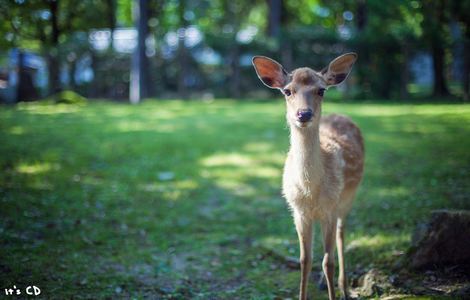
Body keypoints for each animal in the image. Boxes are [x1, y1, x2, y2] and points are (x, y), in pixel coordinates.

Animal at [252, 52, 366, 298]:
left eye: (321, 90)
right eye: (287, 91)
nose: (303, 114)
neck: (310, 191)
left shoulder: (330, 208)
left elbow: (328, 262)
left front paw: (335, 292)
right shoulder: (298, 211)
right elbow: (305, 260)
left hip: (348, 197)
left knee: (341, 234)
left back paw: (344, 288)